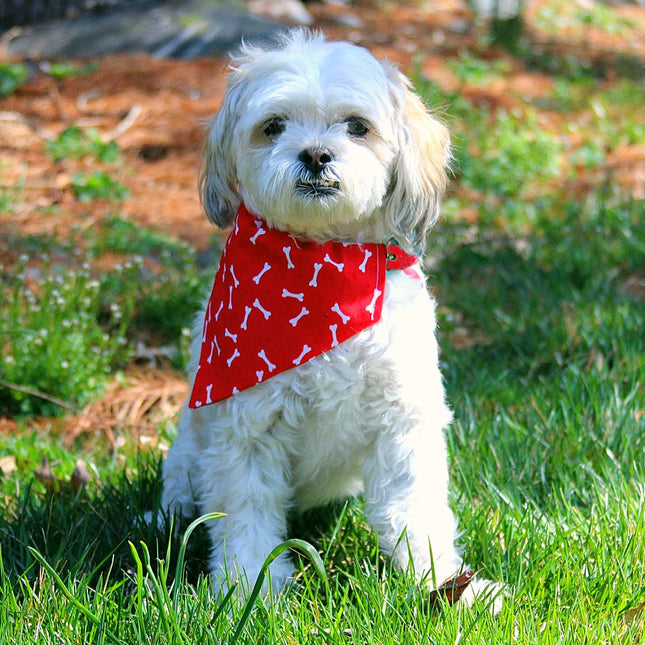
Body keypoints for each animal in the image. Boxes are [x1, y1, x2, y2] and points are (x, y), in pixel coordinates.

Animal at [158, 26, 500, 608]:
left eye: (356, 126)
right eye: (273, 126)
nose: (315, 154)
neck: (325, 267)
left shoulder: (401, 422)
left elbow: (414, 511)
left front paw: (443, 584)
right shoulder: (247, 432)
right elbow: (247, 520)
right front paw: (249, 594)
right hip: (188, 454)